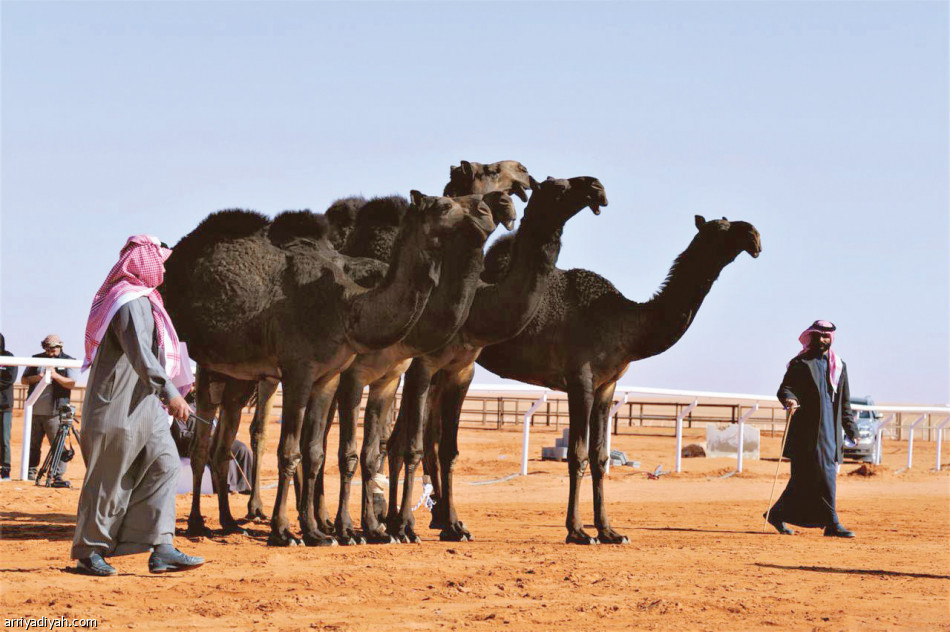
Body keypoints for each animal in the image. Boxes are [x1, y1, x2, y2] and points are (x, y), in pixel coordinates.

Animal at [163, 195, 484, 544]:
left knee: (221, 448)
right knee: (200, 446)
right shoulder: (300, 371)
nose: (482, 212)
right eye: (444, 205)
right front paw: (285, 532)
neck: (348, 307)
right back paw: (197, 523)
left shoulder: (329, 377)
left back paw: (228, 521)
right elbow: (291, 451)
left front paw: (317, 531)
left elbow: (315, 451)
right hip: (203, 366)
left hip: (237, 377)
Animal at [386, 178, 608, 544]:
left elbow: (447, 450)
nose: (596, 188)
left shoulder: (460, 370)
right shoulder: (424, 364)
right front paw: (405, 527)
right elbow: (413, 445)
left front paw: (453, 527)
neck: (479, 303)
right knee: (394, 440)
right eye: (557, 187)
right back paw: (391, 522)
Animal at [480, 216, 764, 544]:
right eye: (720, 228)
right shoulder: (580, 381)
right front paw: (577, 532)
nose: (754, 236)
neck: (626, 324)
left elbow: (600, 456)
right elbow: (577, 455)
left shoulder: (606, 386)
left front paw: (609, 531)